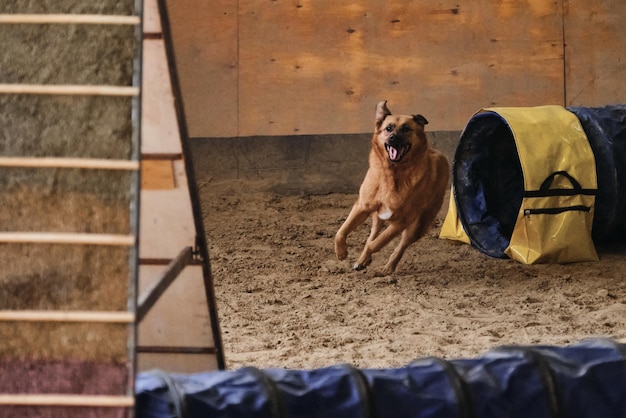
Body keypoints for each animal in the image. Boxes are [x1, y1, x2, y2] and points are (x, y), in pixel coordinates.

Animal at [334, 102, 446, 274]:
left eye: (406, 129)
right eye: (388, 128)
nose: (393, 138)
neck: (391, 174)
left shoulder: (401, 222)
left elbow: (376, 244)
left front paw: (366, 255)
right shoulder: (362, 207)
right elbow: (341, 231)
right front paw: (342, 252)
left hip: (417, 226)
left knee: (400, 246)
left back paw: (387, 268)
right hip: (377, 218)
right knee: (372, 234)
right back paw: (362, 260)